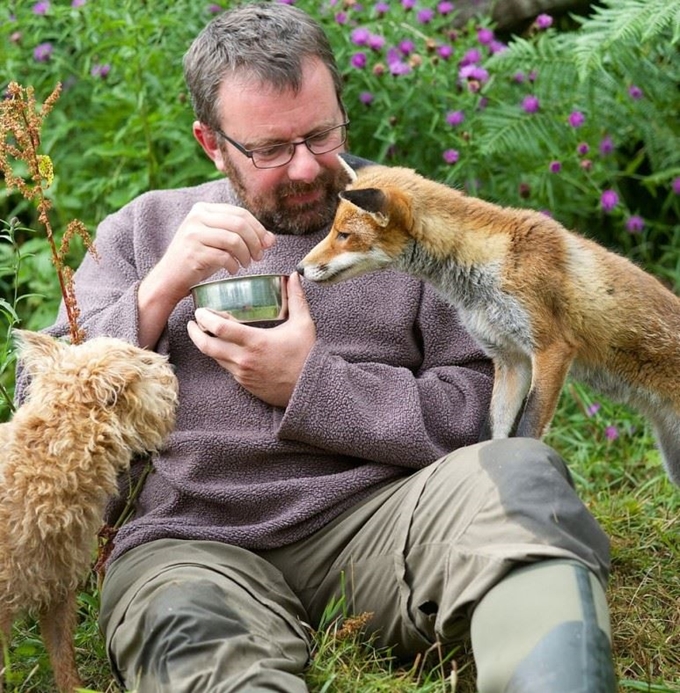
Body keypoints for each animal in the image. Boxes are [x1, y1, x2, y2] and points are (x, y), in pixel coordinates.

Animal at [296, 154, 680, 484]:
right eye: (332, 230)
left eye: (344, 235)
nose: (299, 268)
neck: (486, 265)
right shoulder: (510, 360)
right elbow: (490, 434)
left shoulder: (552, 350)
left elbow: (527, 431)